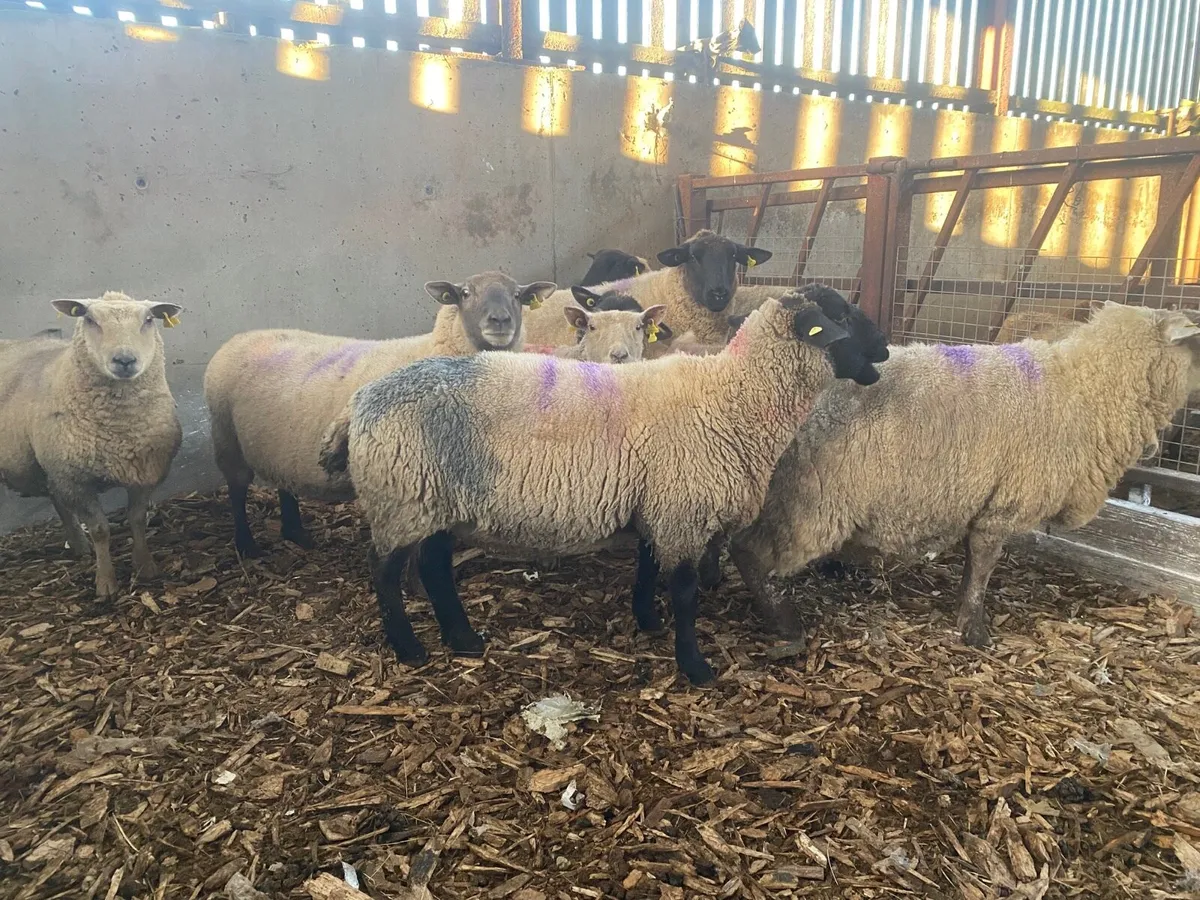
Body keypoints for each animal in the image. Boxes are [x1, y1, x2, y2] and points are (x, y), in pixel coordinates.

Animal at [0, 292, 183, 600]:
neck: (119, 430)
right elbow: (100, 529)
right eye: (89, 319)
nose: (124, 359)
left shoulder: (144, 471)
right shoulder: (77, 480)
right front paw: (106, 583)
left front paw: (145, 567)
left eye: (148, 319)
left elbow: (136, 519)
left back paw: (78, 545)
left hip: (51, 465)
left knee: (56, 499)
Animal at [203, 271, 556, 558]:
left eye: (518, 296)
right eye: (465, 293)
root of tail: (237, 337)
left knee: (283, 483)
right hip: (225, 435)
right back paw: (246, 546)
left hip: (279, 443)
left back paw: (296, 533)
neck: (434, 347)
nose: (500, 321)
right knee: (237, 486)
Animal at [318, 285, 888, 684]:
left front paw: (647, 620)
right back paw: (410, 649)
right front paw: (694, 666)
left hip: (435, 501)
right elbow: (684, 592)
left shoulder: (658, 504)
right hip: (400, 499)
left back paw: (462, 639)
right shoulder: (681, 509)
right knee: (384, 574)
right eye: (839, 318)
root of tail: (360, 402)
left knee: (434, 568)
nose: (883, 353)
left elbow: (647, 567)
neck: (731, 397)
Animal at [728, 300, 1200, 648]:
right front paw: (974, 630)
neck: (1084, 389)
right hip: (808, 501)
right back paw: (783, 621)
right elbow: (983, 567)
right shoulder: (1005, 505)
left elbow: (975, 563)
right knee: (747, 551)